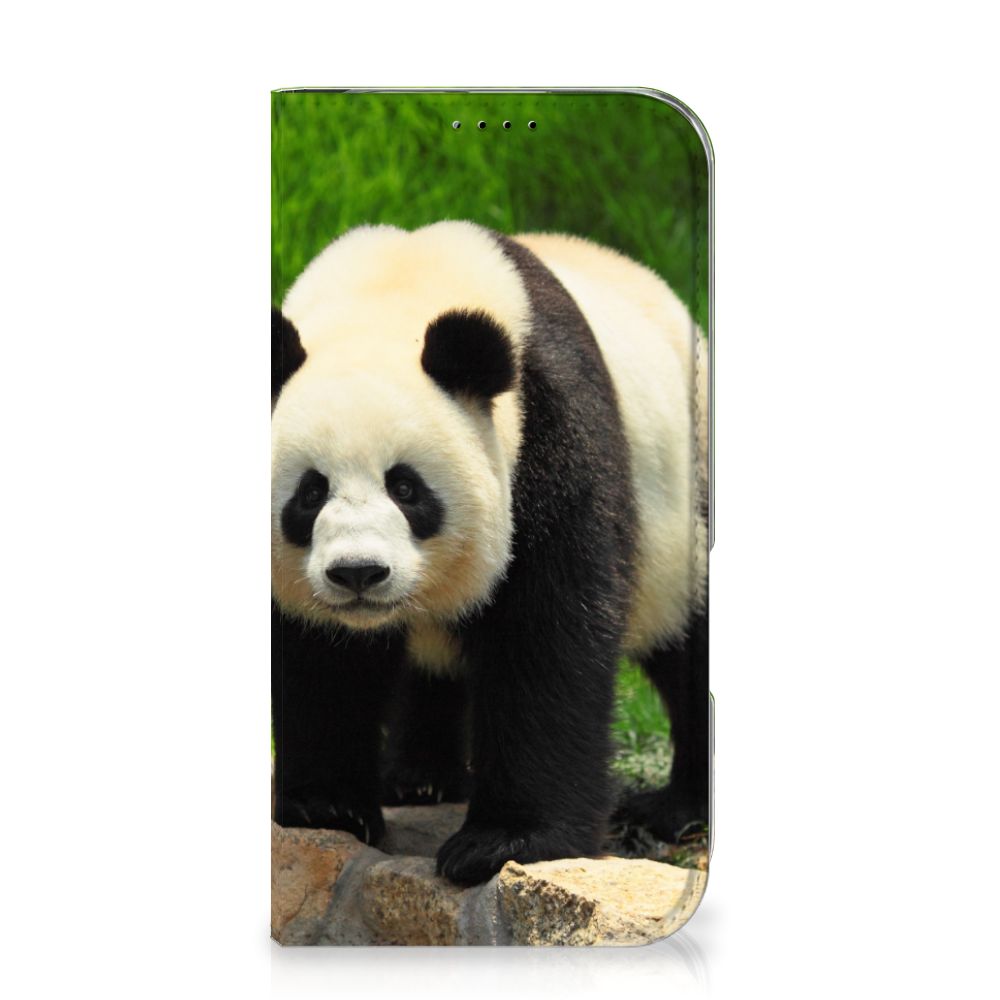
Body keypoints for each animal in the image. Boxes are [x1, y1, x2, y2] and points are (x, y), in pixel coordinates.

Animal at [271, 221, 709, 887]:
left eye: (406, 488)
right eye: (310, 492)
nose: (358, 574)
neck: (392, 292)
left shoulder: (548, 432)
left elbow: (547, 634)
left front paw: (504, 841)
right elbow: (319, 656)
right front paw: (328, 806)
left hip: (689, 504)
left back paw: (676, 808)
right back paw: (419, 778)